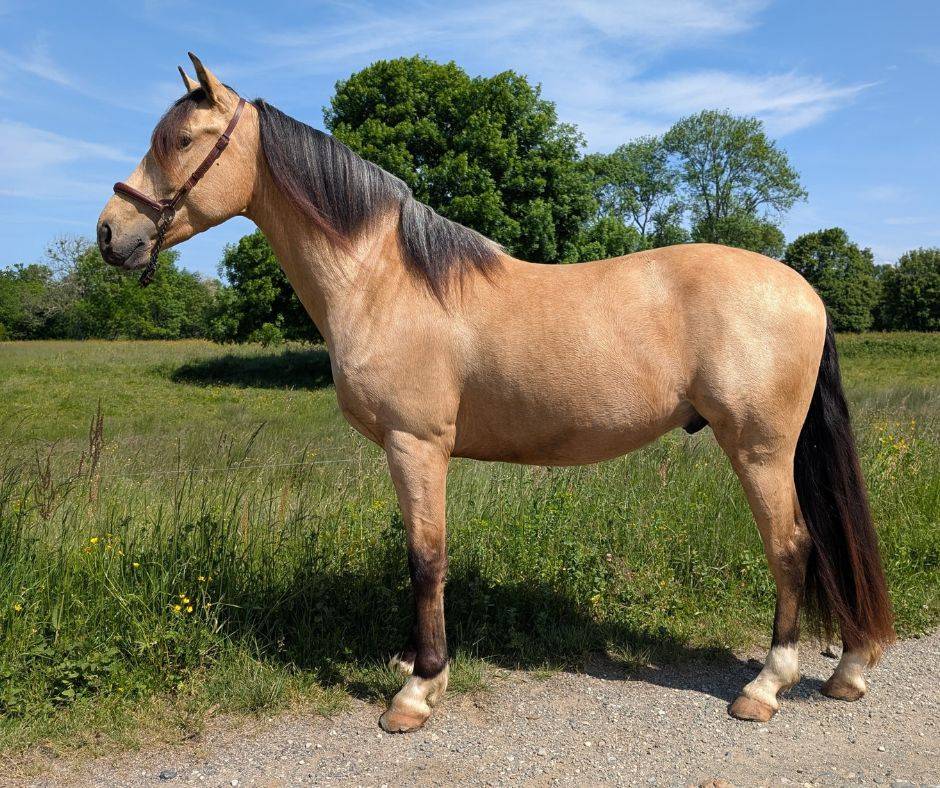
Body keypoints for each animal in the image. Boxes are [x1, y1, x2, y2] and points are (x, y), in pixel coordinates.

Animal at [97, 54, 895, 733]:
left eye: (182, 140)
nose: (110, 234)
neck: (385, 280)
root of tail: (804, 289)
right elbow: (422, 558)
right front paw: (416, 669)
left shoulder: (416, 445)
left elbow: (426, 560)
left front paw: (418, 691)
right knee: (824, 543)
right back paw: (849, 669)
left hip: (760, 447)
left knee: (792, 547)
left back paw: (765, 686)